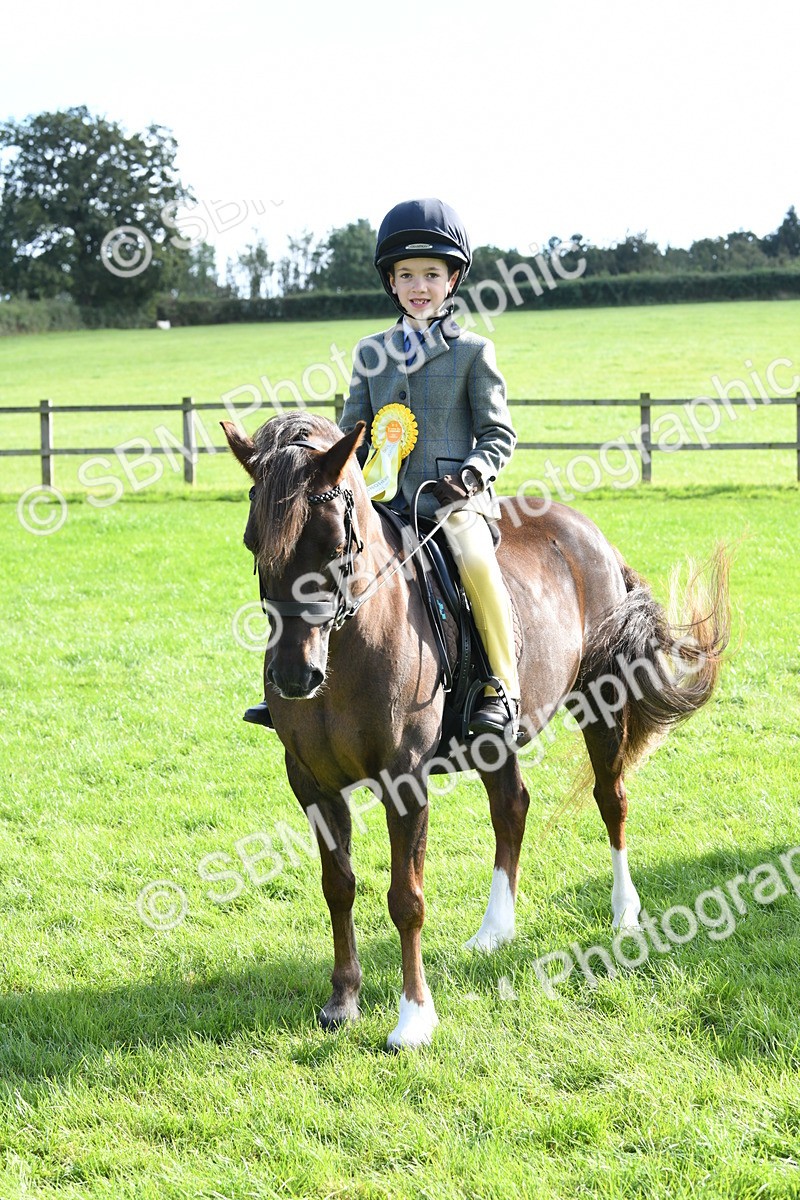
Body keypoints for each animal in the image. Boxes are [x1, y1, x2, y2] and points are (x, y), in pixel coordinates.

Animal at [221, 412, 730, 1049]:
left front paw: (414, 1018)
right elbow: (338, 886)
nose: (294, 675)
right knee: (512, 807)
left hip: (603, 701)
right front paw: (343, 999)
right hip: (494, 738)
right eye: (253, 543)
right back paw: (495, 930)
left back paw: (623, 912)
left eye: (337, 547)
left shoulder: (404, 780)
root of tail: (592, 536)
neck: (349, 648)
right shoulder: (311, 782)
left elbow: (406, 898)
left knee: (610, 799)